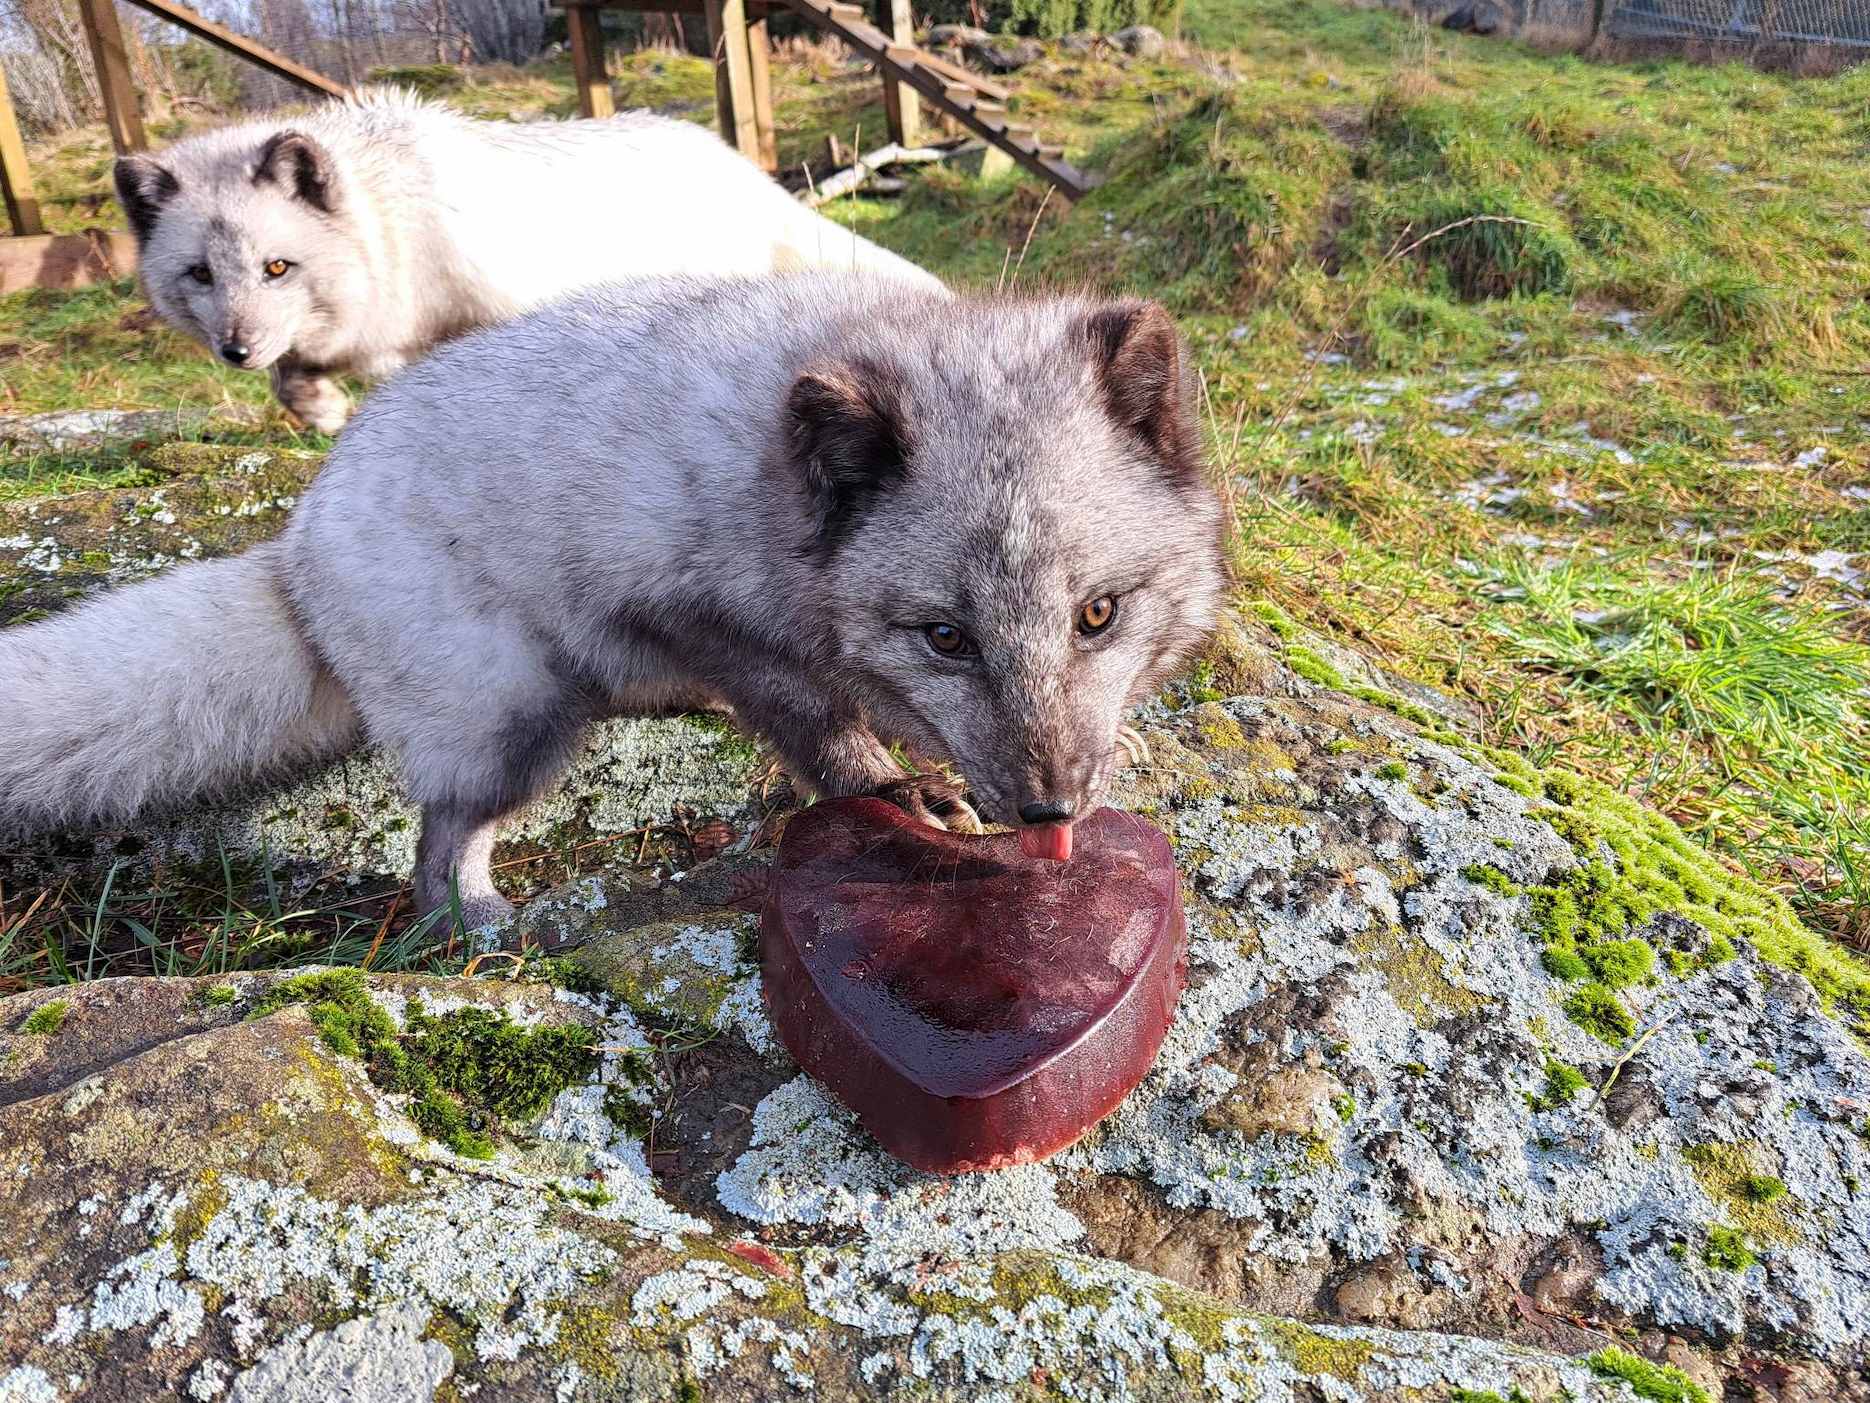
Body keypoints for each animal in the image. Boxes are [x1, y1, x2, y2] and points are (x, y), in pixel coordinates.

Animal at [0, 276, 1226, 935]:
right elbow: (815, 722)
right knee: (438, 846)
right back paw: (480, 927)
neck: (778, 498)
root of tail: (294, 551)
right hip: (516, 718)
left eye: (1099, 615)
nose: (1051, 810)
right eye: (945, 638)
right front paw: (888, 788)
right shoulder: (688, 610)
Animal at [109, 90, 942, 432]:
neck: (394, 229)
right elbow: (295, 378)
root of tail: (734, 161)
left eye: (277, 268)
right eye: (200, 274)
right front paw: (321, 410)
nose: (235, 350)